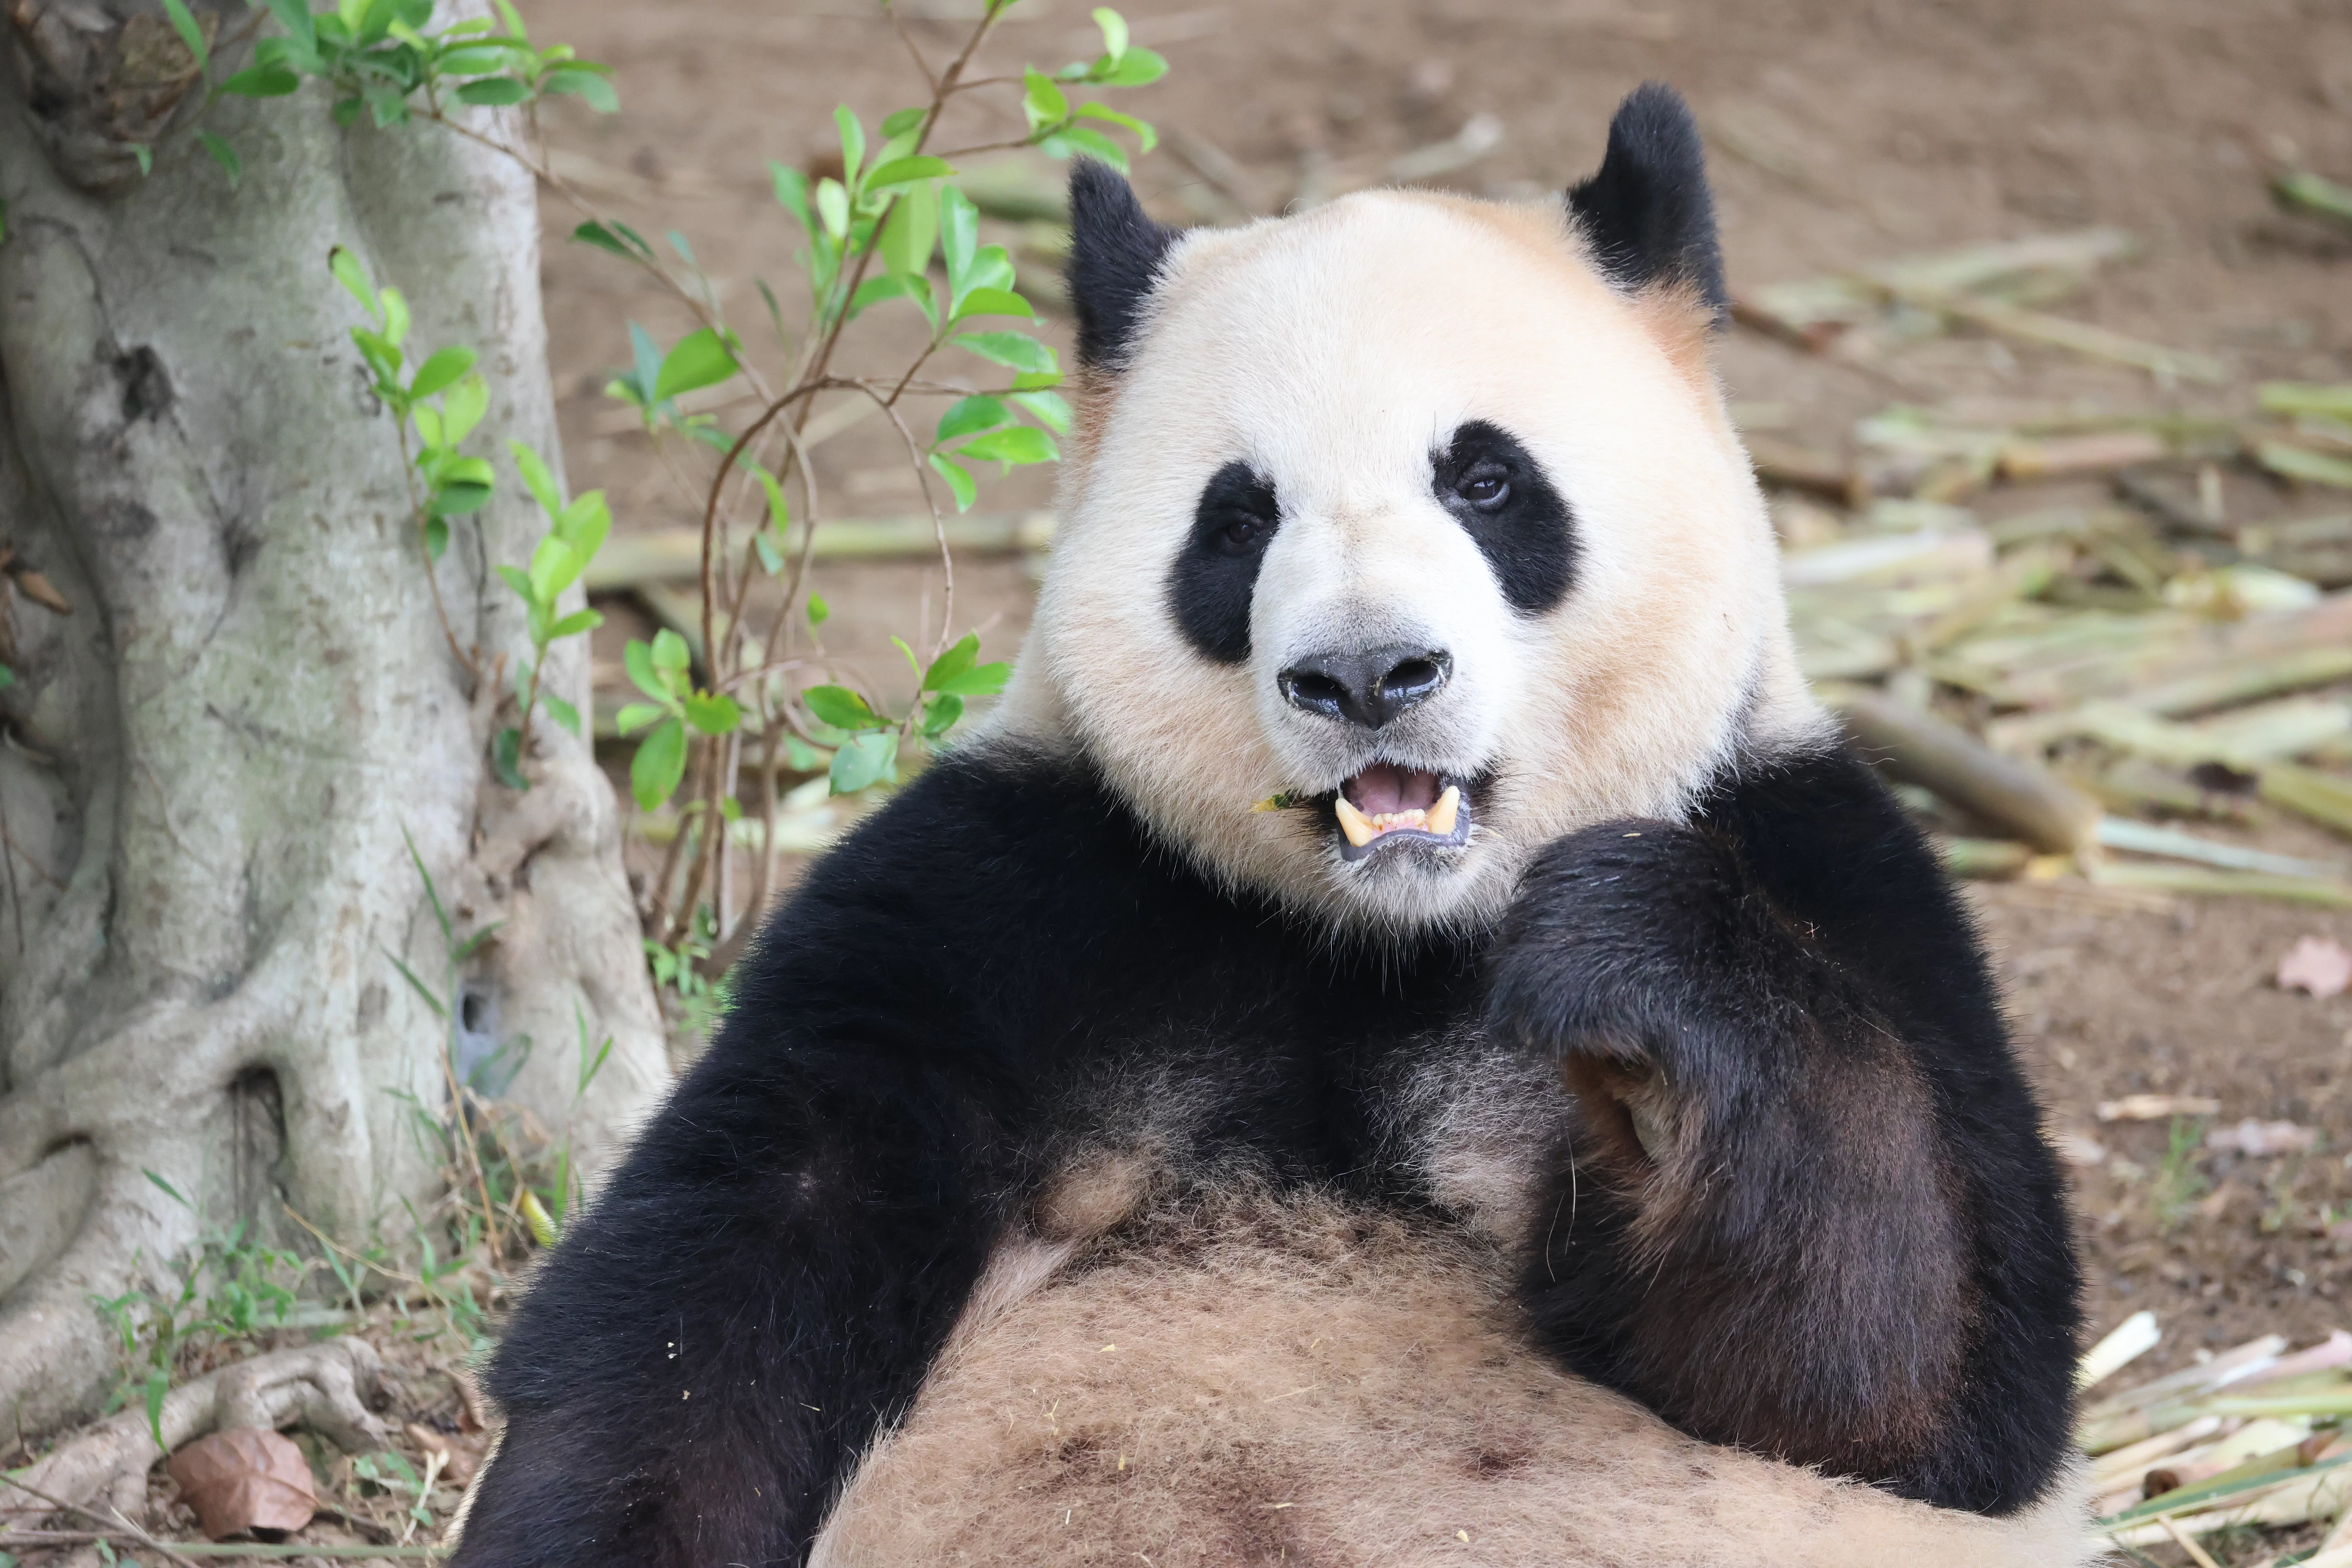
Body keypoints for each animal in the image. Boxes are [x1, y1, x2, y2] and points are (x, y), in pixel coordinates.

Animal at [451, 84, 2094, 1567]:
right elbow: (727, 1277)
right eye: (1236, 520)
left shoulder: (1828, 859)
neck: (1383, 937)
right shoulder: (1007, 889)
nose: (1366, 674)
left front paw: (1632, 970)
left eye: (1485, 478)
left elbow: (1904, 1377)